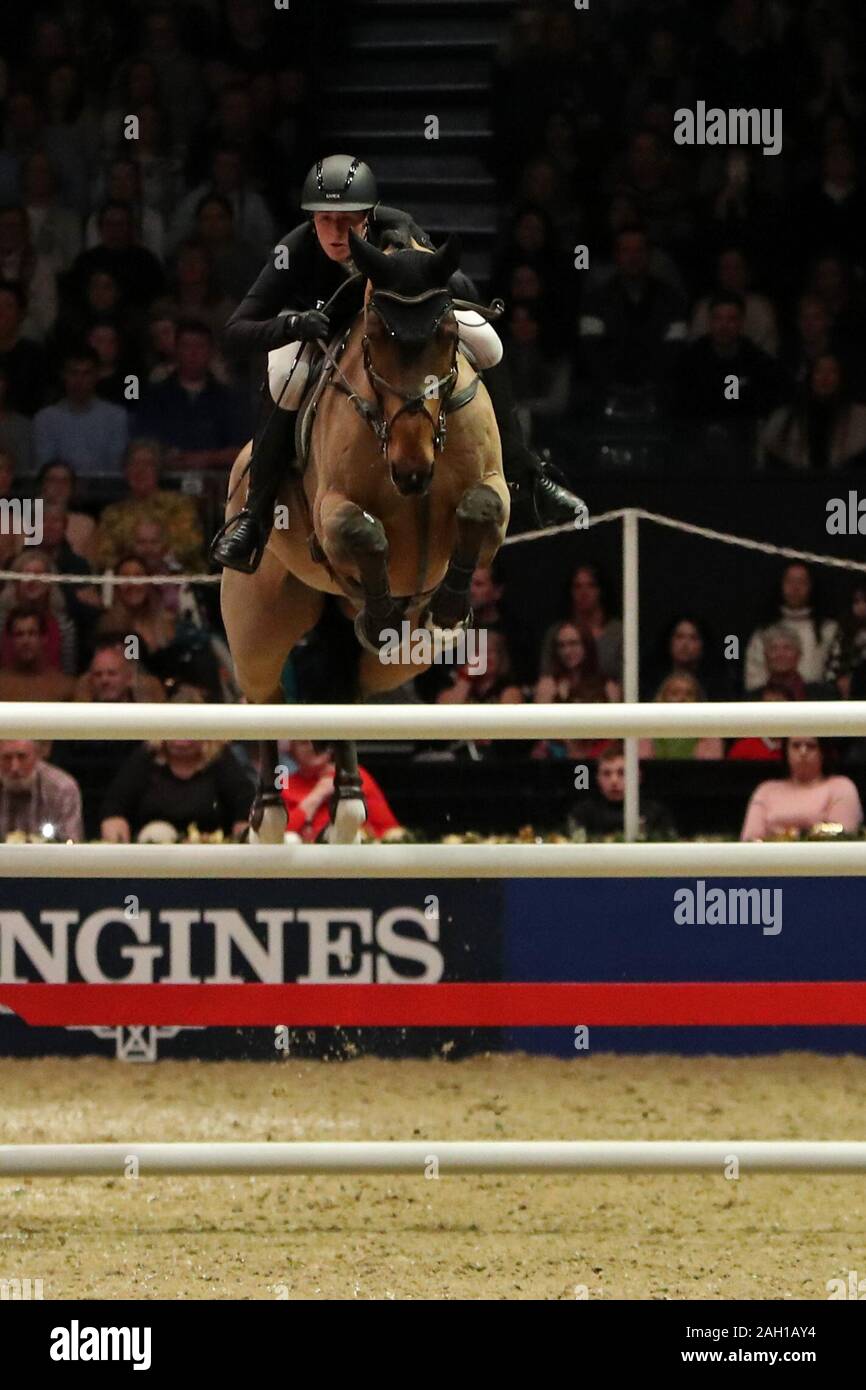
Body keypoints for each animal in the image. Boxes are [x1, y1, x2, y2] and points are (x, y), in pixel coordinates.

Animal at [219, 230, 511, 834]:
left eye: (449, 336)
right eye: (375, 337)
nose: (411, 470)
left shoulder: (494, 492)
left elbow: (480, 508)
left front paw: (448, 608)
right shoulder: (332, 514)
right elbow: (365, 532)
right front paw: (379, 615)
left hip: (394, 667)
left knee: (346, 691)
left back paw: (349, 801)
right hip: (259, 623)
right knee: (262, 697)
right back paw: (270, 812)